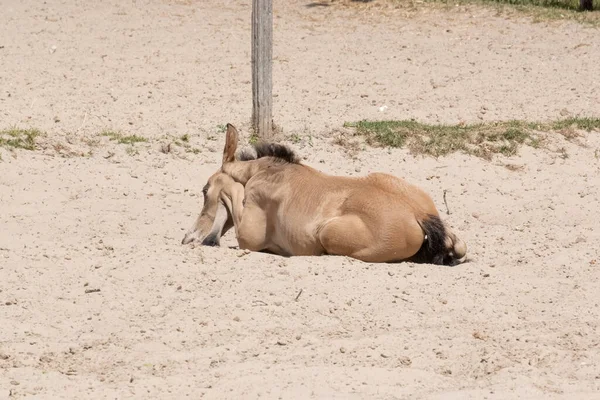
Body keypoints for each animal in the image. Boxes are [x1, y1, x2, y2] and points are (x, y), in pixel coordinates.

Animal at [183, 122, 468, 266]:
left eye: (205, 190)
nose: (187, 238)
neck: (262, 171)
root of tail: (419, 216)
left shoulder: (248, 237)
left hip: (327, 232)